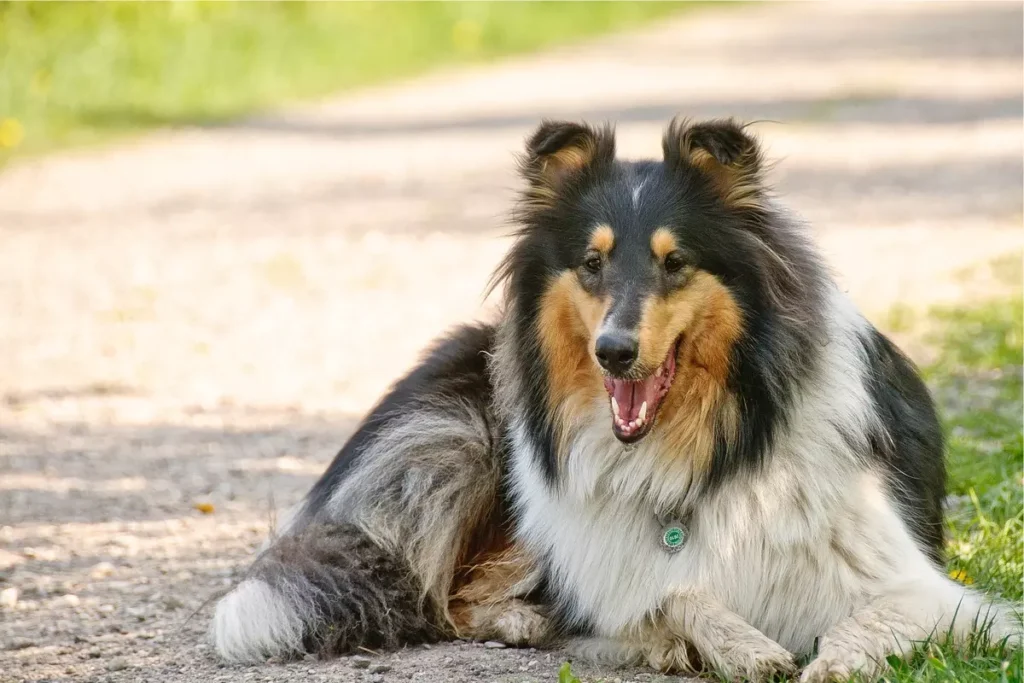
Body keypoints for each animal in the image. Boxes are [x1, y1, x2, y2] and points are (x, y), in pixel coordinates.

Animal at [209, 117, 1015, 679]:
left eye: (675, 261)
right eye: (591, 263)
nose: (614, 351)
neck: (699, 453)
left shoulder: (925, 590)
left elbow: (865, 624)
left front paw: (828, 663)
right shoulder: (610, 570)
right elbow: (673, 593)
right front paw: (734, 645)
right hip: (468, 444)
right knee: (445, 594)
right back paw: (527, 620)